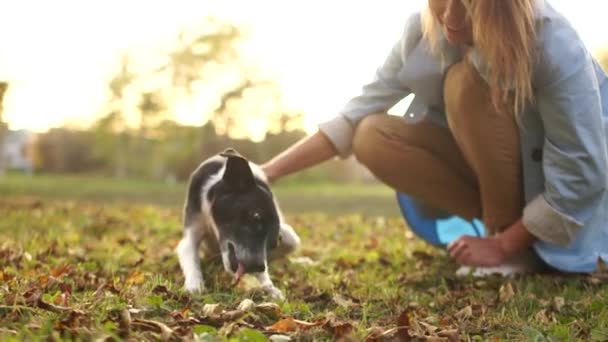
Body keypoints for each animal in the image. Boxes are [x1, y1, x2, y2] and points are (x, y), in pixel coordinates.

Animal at [176, 148, 300, 298]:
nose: (259, 267)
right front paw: (194, 285)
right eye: (256, 216)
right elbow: (192, 259)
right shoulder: (191, 233)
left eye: (273, 243)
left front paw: (270, 288)